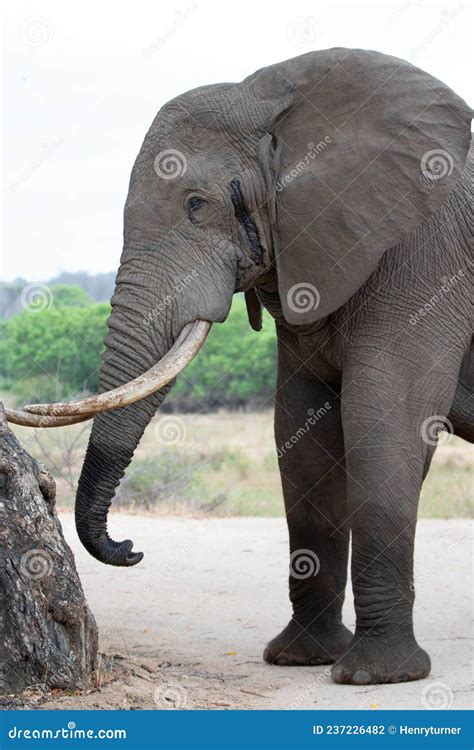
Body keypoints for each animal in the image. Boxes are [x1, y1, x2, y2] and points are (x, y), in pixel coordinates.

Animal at [9, 50, 472, 692]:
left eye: (196, 205)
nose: (130, 546)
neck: (279, 97)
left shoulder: (427, 254)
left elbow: (385, 419)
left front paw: (375, 676)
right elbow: (301, 432)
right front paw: (302, 659)